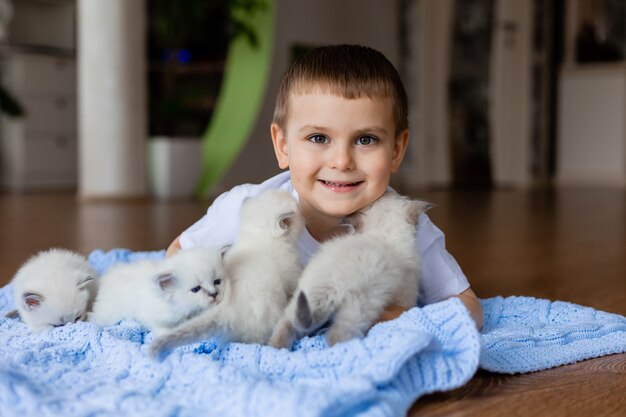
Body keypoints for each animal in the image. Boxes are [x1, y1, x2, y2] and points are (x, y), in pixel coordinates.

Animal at [268, 192, 428, 348]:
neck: (383, 235)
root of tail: (333, 282)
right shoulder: (406, 294)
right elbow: (408, 307)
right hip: (359, 309)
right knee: (337, 335)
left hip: (303, 298)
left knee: (287, 324)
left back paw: (278, 347)